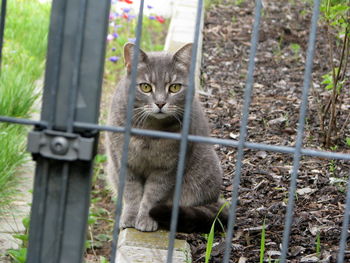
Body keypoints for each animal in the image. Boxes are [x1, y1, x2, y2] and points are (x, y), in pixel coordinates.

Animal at [105, 43, 226, 233]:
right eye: (145, 87)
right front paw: (130, 217)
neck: (149, 130)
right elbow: (131, 193)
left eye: (175, 87)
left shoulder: (168, 168)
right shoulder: (122, 161)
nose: (160, 103)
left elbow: (153, 195)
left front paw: (146, 219)